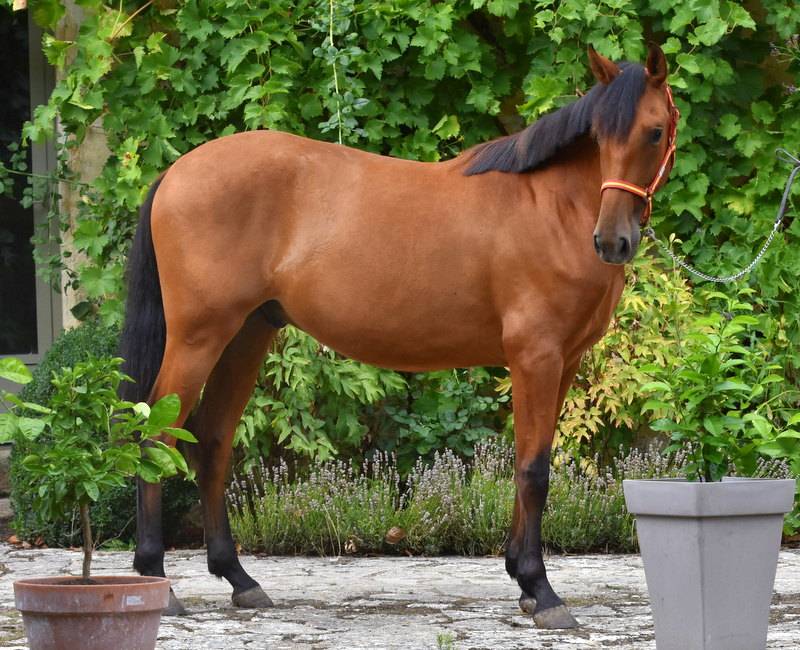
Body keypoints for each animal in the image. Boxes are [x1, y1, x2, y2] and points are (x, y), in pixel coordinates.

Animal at [119, 43, 680, 629]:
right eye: (602, 136)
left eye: (654, 132)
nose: (612, 241)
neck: (551, 207)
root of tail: (177, 172)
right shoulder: (536, 357)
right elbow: (533, 470)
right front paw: (541, 590)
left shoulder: (564, 361)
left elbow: (532, 459)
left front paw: (523, 581)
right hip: (199, 337)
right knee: (155, 439)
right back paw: (157, 579)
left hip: (246, 335)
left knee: (212, 442)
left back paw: (239, 579)